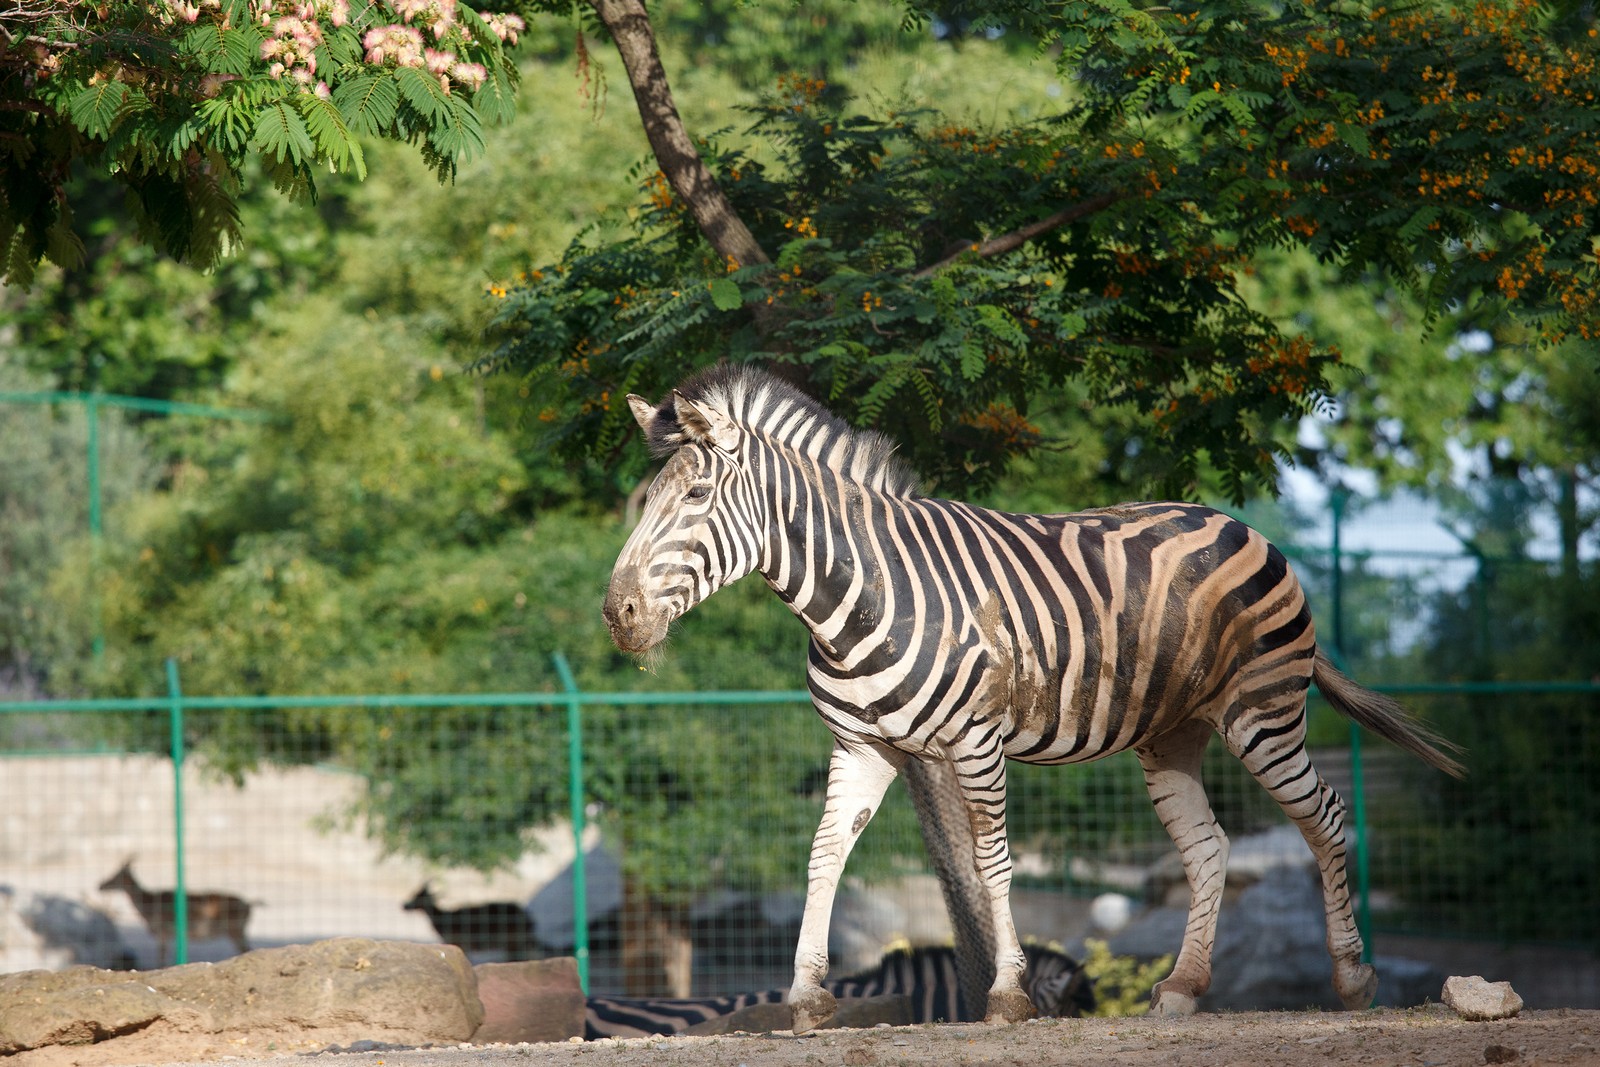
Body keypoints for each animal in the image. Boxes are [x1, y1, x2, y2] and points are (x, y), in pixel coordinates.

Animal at [97, 857, 249, 966]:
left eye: (116, 875)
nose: (100, 885)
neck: (148, 905)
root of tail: (249, 904)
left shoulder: (163, 932)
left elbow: (162, 957)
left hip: (236, 931)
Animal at [601, 367, 1465, 1036]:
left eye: (697, 494)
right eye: (645, 499)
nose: (619, 613)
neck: (858, 599)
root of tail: (1233, 520)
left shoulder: (977, 740)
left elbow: (991, 861)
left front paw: (1008, 994)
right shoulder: (861, 745)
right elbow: (822, 855)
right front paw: (808, 998)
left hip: (1262, 713)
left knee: (1325, 816)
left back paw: (1353, 979)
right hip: (1172, 733)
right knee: (1209, 845)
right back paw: (1181, 990)